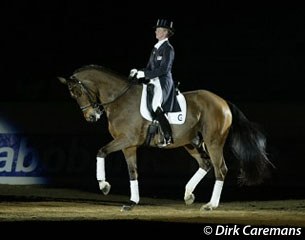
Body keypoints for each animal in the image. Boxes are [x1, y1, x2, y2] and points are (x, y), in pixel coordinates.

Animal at [58, 64, 272, 211]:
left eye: (77, 91)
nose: (91, 117)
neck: (119, 99)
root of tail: (223, 102)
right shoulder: (128, 146)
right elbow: (133, 172)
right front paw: (132, 202)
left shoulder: (126, 140)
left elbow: (100, 152)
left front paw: (104, 186)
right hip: (191, 143)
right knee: (205, 164)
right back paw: (188, 194)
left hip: (213, 142)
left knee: (221, 169)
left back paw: (211, 205)